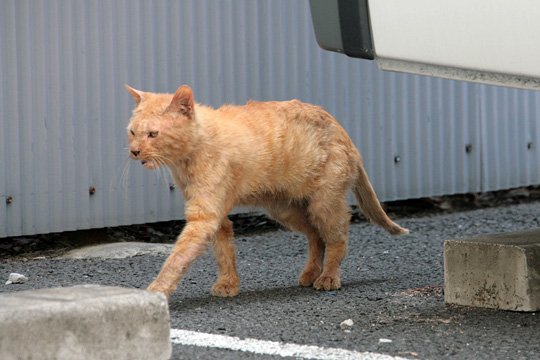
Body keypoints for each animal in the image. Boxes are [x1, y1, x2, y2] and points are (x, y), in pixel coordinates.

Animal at [123, 83, 410, 298]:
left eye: (153, 134)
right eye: (132, 132)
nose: (134, 151)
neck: (189, 156)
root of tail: (345, 134)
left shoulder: (204, 217)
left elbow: (176, 259)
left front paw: (157, 289)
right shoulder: (216, 217)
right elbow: (224, 252)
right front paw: (229, 284)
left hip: (324, 204)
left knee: (337, 238)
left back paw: (328, 277)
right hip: (286, 210)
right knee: (316, 236)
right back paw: (310, 274)